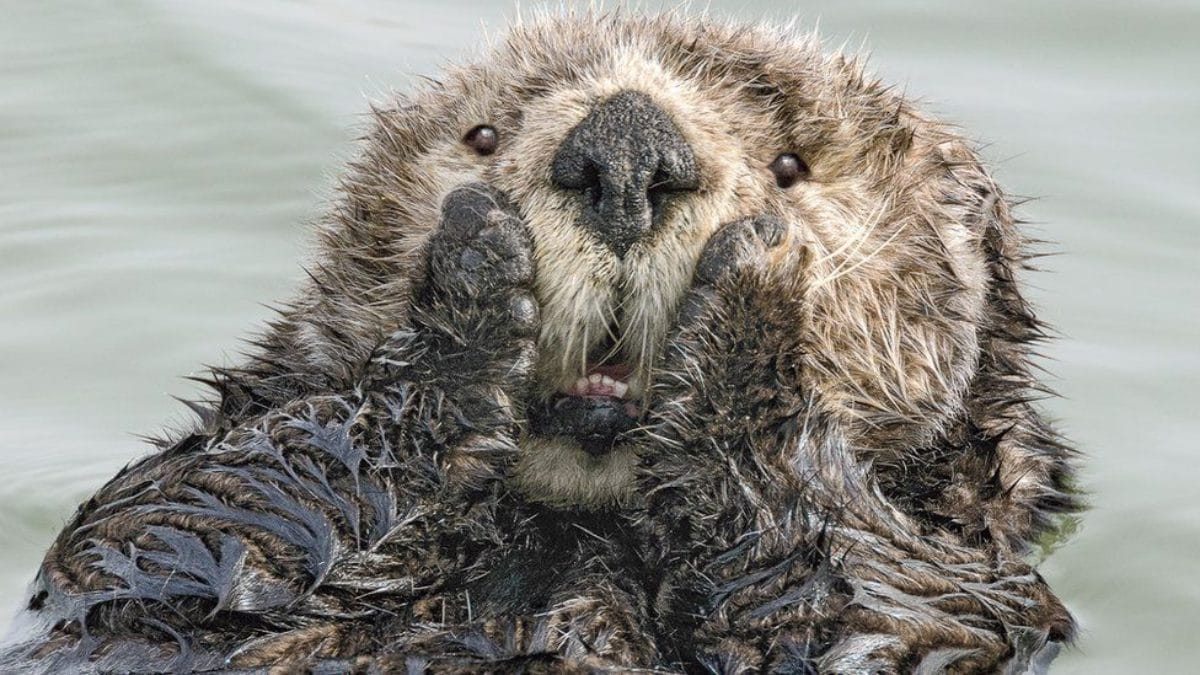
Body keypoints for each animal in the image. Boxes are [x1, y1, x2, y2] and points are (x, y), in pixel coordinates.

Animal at [0, 10, 1080, 672]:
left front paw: (755, 296)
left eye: (790, 165)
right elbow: (184, 520)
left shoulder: (971, 596)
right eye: (483, 136)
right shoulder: (141, 555)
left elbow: (867, 603)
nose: (626, 148)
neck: (574, 536)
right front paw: (472, 282)